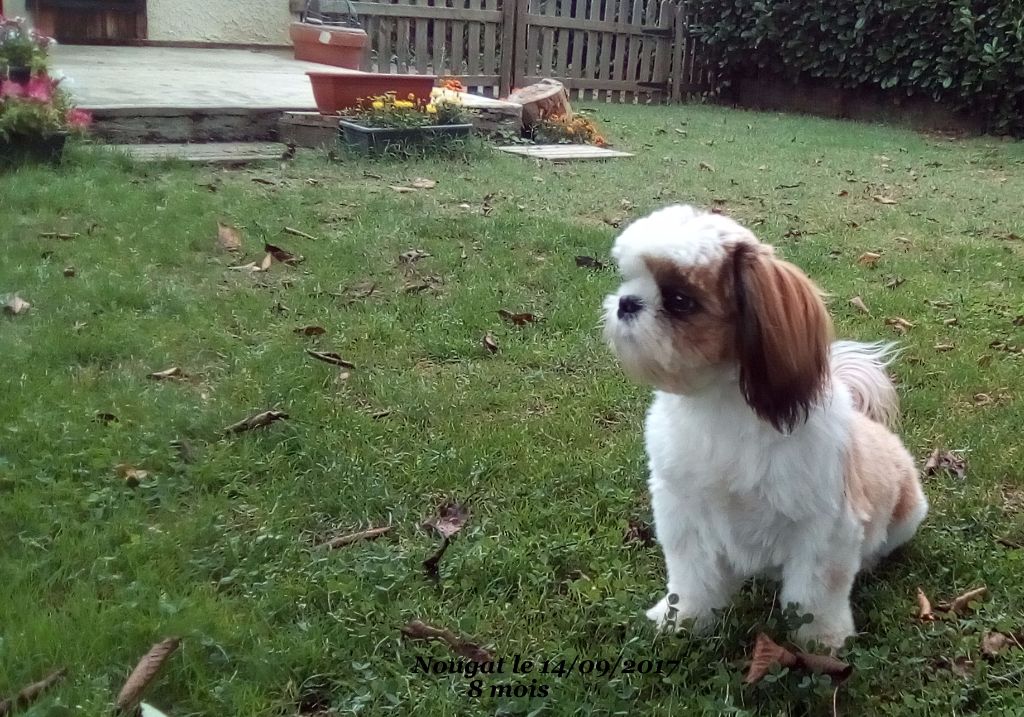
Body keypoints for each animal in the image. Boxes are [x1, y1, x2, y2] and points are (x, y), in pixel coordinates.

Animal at [602, 202, 933, 651]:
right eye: (629, 279)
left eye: (679, 301)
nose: (627, 302)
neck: (722, 406)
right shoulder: (685, 513)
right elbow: (692, 577)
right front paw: (681, 618)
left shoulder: (823, 529)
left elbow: (814, 595)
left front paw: (820, 641)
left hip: (907, 513)